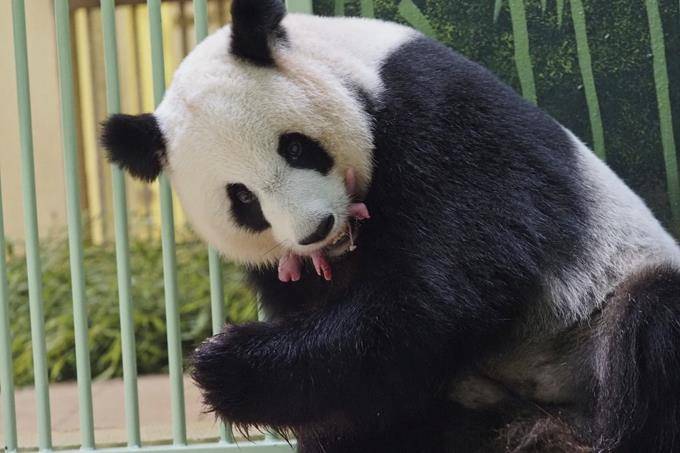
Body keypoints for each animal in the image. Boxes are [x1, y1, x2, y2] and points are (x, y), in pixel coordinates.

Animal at [101, 1, 680, 451]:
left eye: (296, 148)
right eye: (242, 199)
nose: (315, 229)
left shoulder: (441, 121)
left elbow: (442, 297)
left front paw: (226, 363)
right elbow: (356, 389)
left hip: (591, 317)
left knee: (651, 319)